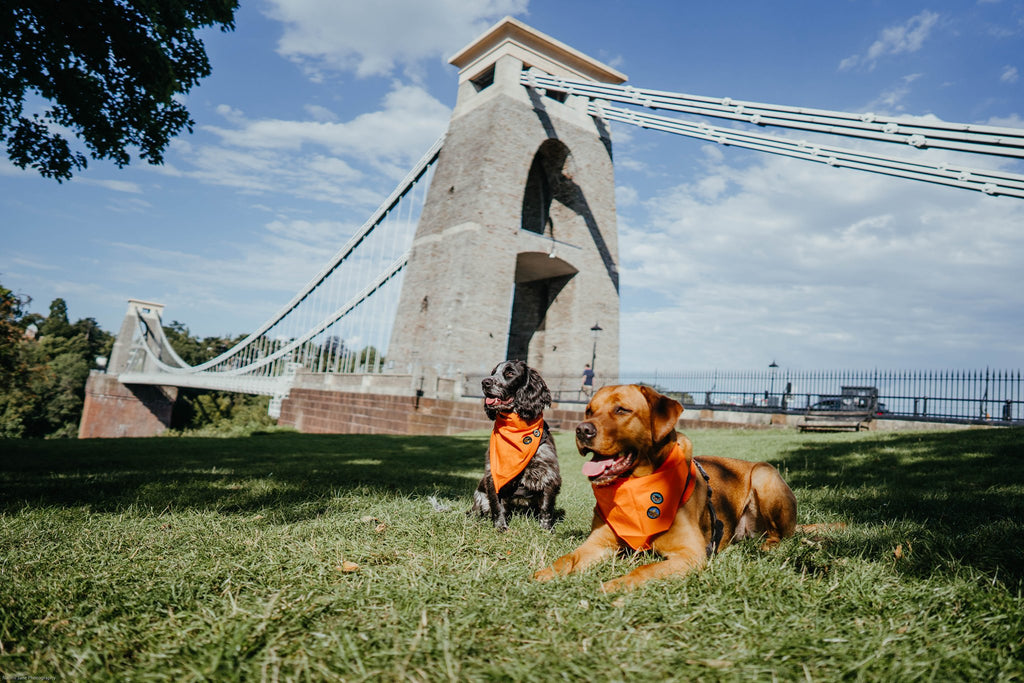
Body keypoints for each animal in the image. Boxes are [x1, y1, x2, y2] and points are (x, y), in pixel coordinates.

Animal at [536, 385, 798, 593]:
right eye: (589, 410)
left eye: (621, 410)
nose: (582, 430)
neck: (636, 486)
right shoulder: (598, 544)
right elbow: (568, 558)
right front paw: (545, 573)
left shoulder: (690, 554)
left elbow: (644, 569)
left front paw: (614, 584)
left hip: (764, 474)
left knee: (780, 534)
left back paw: (768, 545)